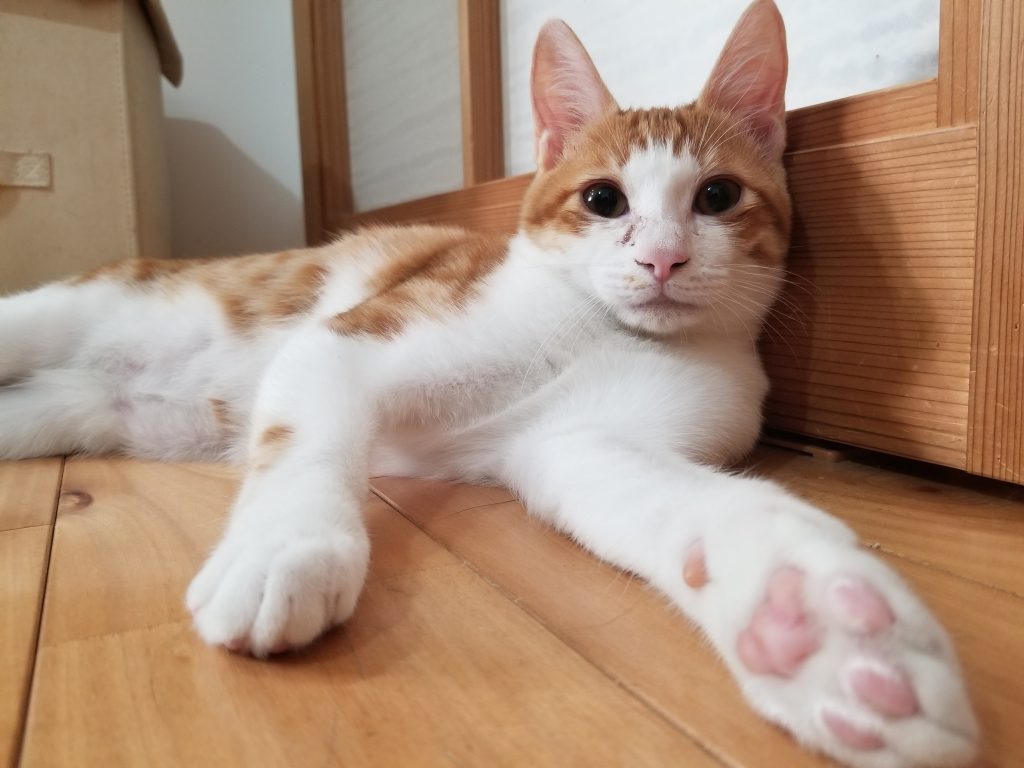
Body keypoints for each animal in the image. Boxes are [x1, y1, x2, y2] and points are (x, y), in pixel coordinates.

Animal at [0, 1, 978, 766]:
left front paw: (810, 622)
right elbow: (306, 440)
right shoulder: (354, 335)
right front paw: (287, 547)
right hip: (68, 313)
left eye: (718, 197)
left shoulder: (576, 443)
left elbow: (673, 498)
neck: (594, 328)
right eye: (603, 200)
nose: (662, 259)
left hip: (55, 410)